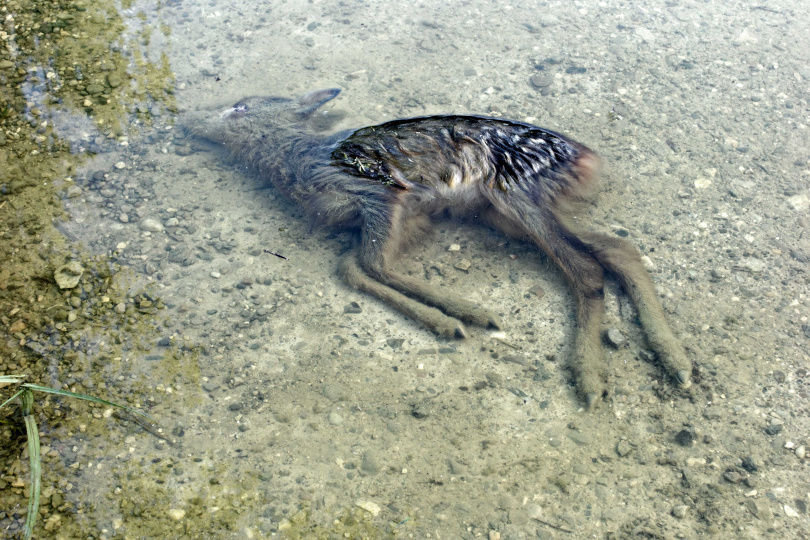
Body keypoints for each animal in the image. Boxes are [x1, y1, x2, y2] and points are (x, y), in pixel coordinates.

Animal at [182, 88, 692, 408]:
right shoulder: (396, 219)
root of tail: (587, 158)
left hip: (512, 195)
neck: (301, 159)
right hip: (505, 213)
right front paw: (450, 319)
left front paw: (465, 315)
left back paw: (591, 379)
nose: (187, 120)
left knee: (586, 270)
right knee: (617, 248)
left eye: (239, 107)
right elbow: (353, 268)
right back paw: (676, 361)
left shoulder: (385, 200)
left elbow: (366, 266)